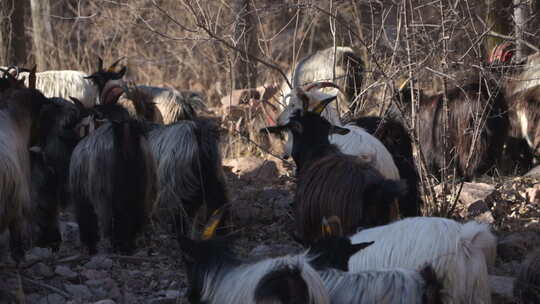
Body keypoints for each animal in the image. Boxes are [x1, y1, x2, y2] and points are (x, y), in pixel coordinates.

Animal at [68, 119, 157, 254]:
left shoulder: (82, 197)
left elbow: (87, 220)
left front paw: (90, 245)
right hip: (141, 190)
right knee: (134, 218)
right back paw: (126, 246)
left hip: (104, 194)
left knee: (109, 222)